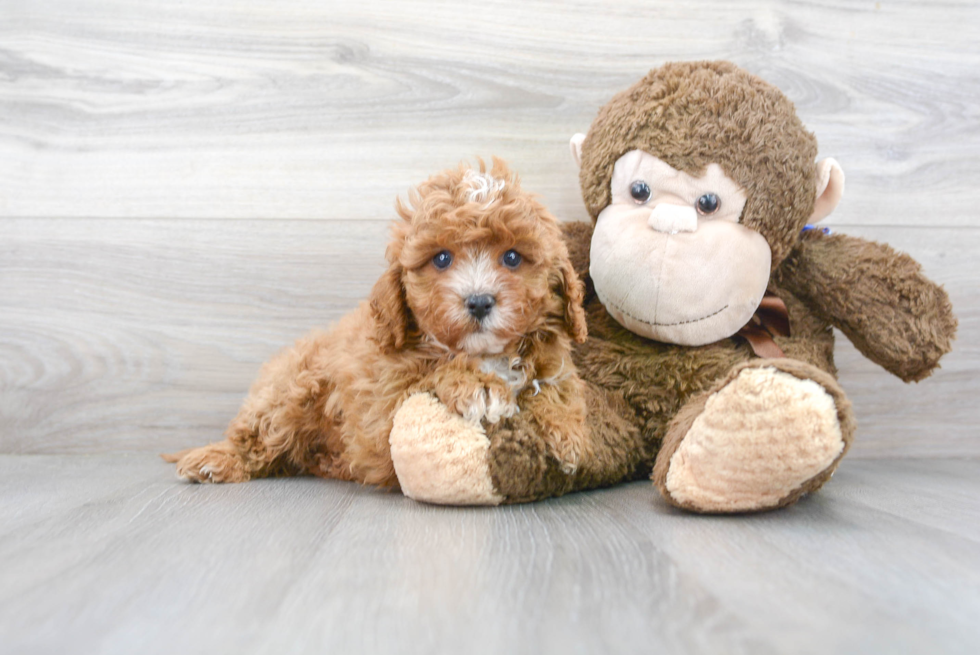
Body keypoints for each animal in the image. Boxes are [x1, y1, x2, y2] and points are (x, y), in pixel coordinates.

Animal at [164, 159, 584, 486]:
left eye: (512, 257)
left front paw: (566, 430)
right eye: (441, 258)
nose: (479, 301)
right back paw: (214, 460)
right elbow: (426, 378)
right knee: (256, 436)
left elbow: (555, 386)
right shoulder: (379, 411)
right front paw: (477, 384)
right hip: (290, 387)